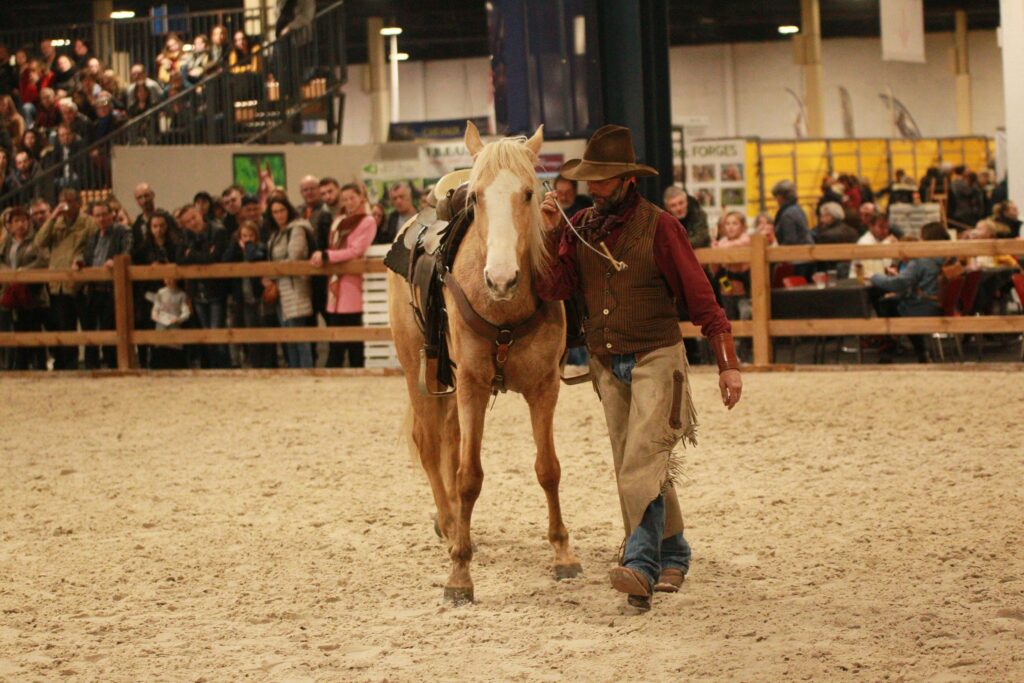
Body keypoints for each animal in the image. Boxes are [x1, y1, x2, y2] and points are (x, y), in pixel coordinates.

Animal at [385, 121, 581, 602]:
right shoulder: (472, 384)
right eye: (476, 198)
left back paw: (456, 522)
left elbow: (548, 469)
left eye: (529, 193)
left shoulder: (544, 387)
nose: (502, 278)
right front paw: (459, 573)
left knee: (451, 440)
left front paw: (562, 553)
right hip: (418, 371)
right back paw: (451, 523)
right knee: (431, 443)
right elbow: (469, 475)